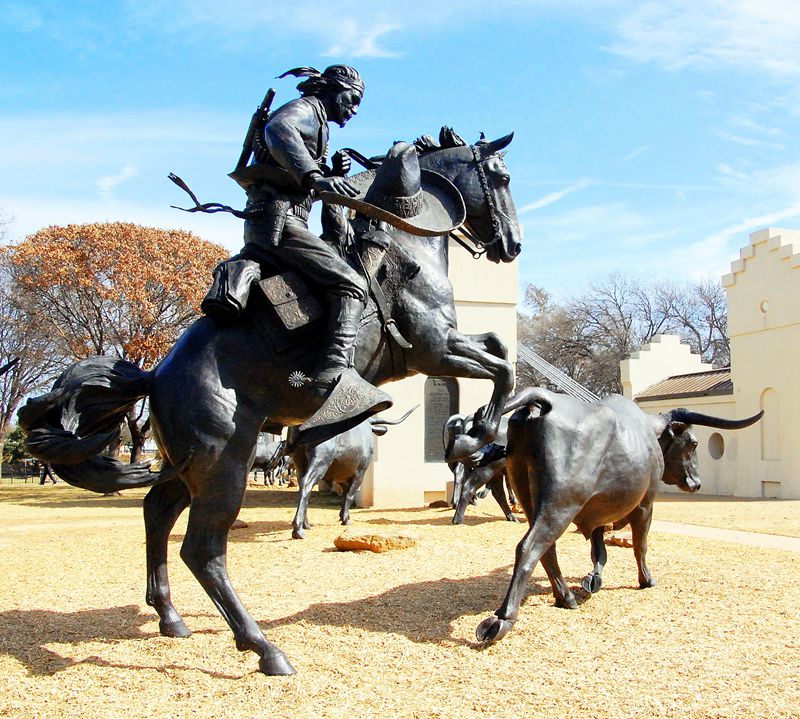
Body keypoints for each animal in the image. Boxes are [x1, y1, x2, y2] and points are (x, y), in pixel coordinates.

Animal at [18, 128, 520, 676]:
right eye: (502, 176)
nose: (512, 244)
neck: (403, 242)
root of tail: (158, 376)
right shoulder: (434, 348)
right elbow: (502, 366)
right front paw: (486, 424)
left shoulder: (447, 343)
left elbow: (499, 346)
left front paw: (485, 422)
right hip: (224, 466)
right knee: (203, 550)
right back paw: (262, 646)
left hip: (187, 465)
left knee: (156, 514)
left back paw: (170, 617)